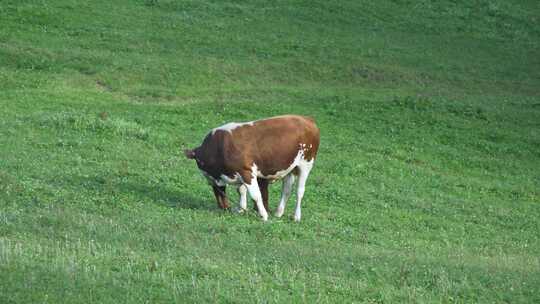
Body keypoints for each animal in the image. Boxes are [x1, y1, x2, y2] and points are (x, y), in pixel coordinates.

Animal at [186, 114, 320, 221]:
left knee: (299, 191)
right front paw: (241, 209)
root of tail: (306, 119)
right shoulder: (237, 174)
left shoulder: (246, 172)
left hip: (306, 164)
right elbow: (241, 190)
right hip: (289, 168)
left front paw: (264, 215)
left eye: (200, 163)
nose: (225, 207)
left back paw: (296, 216)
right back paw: (278, 213)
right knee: (286, 190)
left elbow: (256, 195)